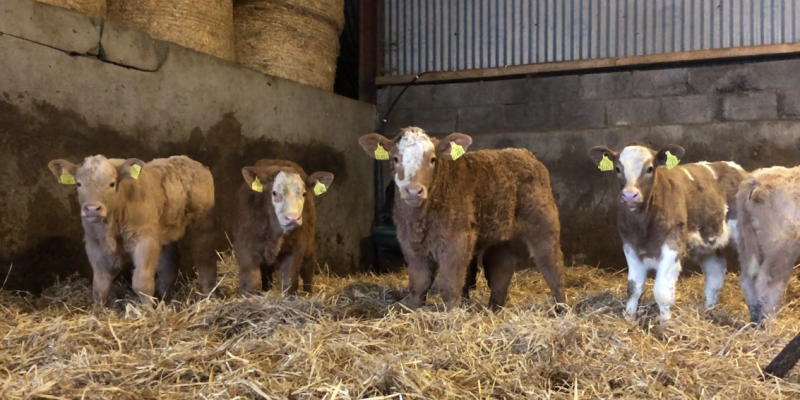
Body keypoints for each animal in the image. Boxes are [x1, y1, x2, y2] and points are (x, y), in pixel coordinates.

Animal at [47, 155, 217, 306]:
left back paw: (208, 295)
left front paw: (149, 313)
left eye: (112, 183)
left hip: (203, 225)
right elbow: (100, 285)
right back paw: (164, 299)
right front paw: (97, 312)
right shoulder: (94, 244)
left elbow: (141, 282)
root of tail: (190, 161)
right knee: (168, 268)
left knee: (205, 260)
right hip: (164, 234)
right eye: (78, 183)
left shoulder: (145, 241)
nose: (92, 209)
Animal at [233, 159, 333, 296]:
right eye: (274, 193)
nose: (292, 218)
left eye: (304, 194)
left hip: (309, 242)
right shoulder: (245, 246)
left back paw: (308, 293)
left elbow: (289, 280)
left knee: (308, 268)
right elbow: (251, 281)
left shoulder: (295, 247)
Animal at [358, 126, 567, 311]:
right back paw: (494, 309)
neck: (420, 221)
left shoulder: (456, 242)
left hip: (544, 223)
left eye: (432, 159)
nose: (413, 191)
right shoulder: (411, 246)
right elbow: (418, 285)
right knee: (502, 268)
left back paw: (562, 308)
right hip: (500, 233)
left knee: (552, 265)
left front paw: (451, 318)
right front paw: (414, 312)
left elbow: (450, 285)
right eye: (395, 159)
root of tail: (524, 153)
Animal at [588, 143, 747, 321]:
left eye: (650, 168)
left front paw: (665, 324)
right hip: (706, 241)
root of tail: (737, 168)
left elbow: (662, 292)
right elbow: (633, 288)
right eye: (617, 168)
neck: (643, 226)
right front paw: (629, 319)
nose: (630, 195)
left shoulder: (672, 245)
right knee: (716, 272)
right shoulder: (630, 246)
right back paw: (708, 311)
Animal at [736, 166, 800, 323]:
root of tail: (756, 180)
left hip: (745, 241)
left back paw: (755, 319)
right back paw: (769, 322)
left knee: (747, 280)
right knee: (767, 283)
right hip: (782, 245)